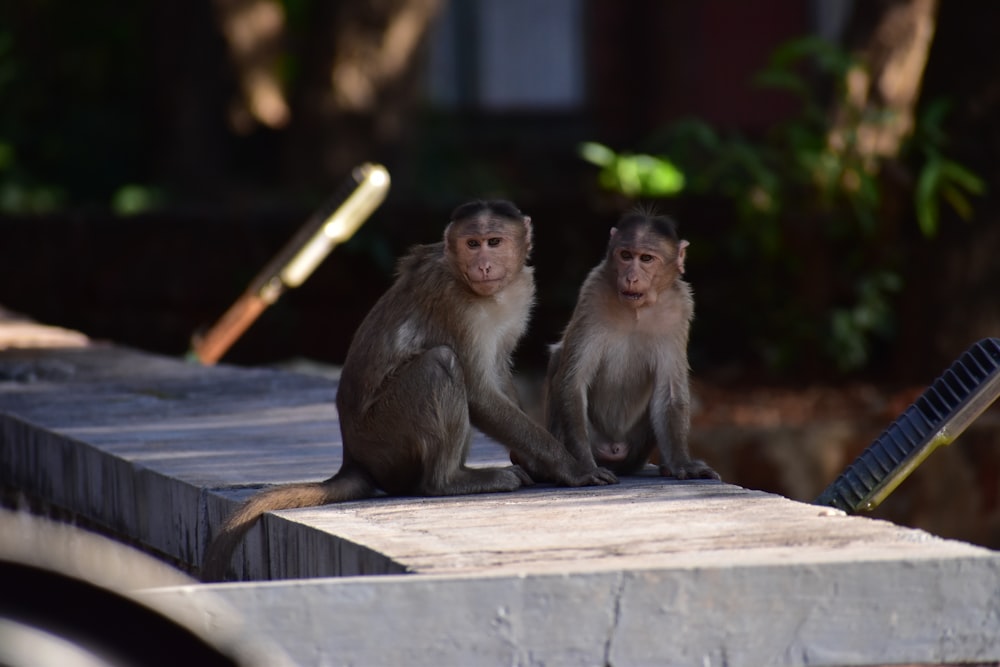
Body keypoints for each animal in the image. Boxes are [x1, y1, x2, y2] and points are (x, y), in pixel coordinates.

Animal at [202, 201, 616, 580]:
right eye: (472, 243)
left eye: (494, 242)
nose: (483, 265)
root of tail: (353, 456)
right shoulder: (454, 301)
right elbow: (479, 391)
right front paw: (572, 467)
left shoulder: (518, 293)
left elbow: (497, 372)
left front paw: (533, 460)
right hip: (386, 437)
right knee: (440, 364)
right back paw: (450, 481)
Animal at [544, 209, 724, 480]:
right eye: (626, 256)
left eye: (646, 258)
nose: (631, 277)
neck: (635, 311)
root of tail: (613, 448)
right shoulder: (592, 293)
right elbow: (573, 381)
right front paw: (584, 467)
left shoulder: (679, 308)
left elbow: (669, 391)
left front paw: (681, 464)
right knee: (558, 357)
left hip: (635, 450)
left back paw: (667, 465)